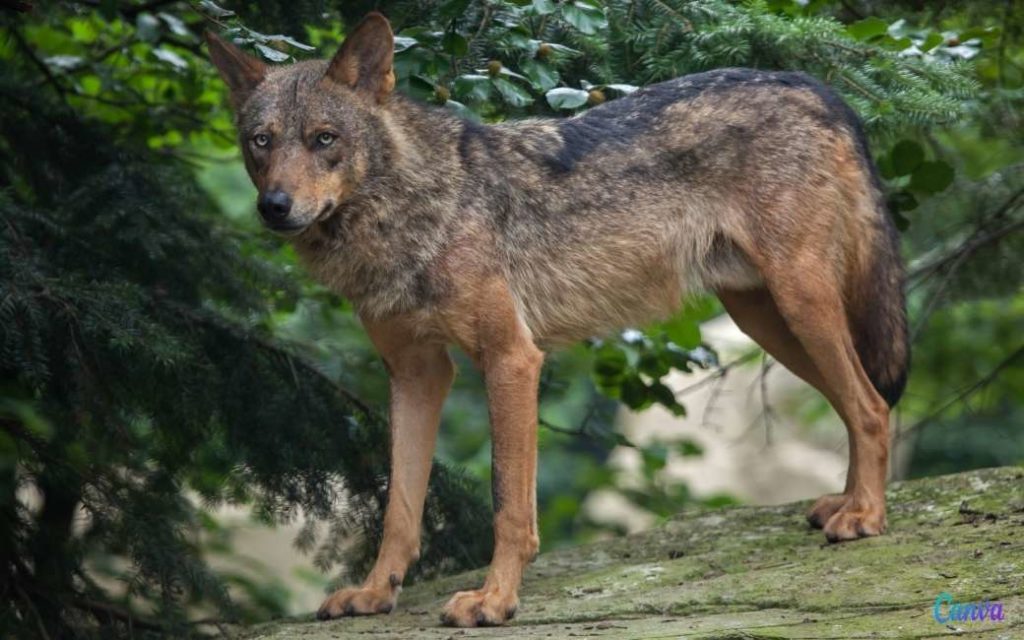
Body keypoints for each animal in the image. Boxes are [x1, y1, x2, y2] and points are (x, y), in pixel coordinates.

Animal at [203, 12, 909, 626]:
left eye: (324, 139)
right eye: (261, 142)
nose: (273, 206)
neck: (409, 211)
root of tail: (816, 86)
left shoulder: (511, 359)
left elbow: (507, 505)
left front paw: (493, 601)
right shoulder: (416, 373)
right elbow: (400, 509)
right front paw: (377, 594)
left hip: (800, 305)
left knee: (872, 406)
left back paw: (866, 518)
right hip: (768, 321)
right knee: (857, 404)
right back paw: (846, 504)